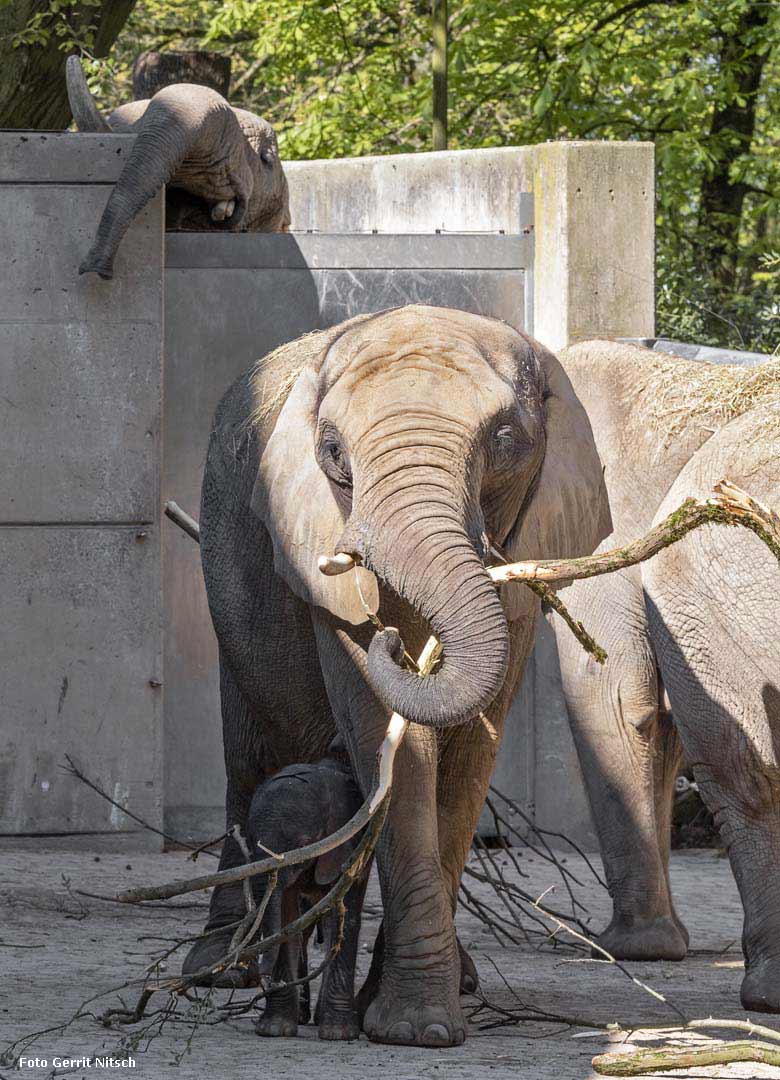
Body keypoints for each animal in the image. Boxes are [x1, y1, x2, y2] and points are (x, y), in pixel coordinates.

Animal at [244, 756, 365, 1041]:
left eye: (302, 844)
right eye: (250, 841)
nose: (253, 971)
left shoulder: (351, 844)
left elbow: (345, 916)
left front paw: (339, 1034)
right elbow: (286, 918)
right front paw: (275, 1029)